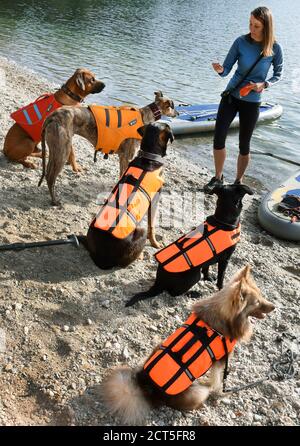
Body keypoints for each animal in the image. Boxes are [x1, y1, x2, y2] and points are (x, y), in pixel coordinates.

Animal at [38, 91, 177, 206]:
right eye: (173, 106)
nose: (178, 113)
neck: (145, 116)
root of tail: (52, 116)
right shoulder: (127, 157)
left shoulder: (123, 157)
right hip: (62, 151)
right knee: (50, 177)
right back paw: (55, 201)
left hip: (57, 150)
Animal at [78, 122, 175, 268]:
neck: (148, 156)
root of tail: (102, 258)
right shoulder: (155, 199)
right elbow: (152, 226)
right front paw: (155, 243)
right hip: (140, 230)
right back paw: (140, 255)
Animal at [100, 264, 274, 426]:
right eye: (257, 302)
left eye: (261, 295)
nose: (274, 306)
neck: (223, 318)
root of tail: (149, 390)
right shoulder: (221, 360)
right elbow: (218, 381)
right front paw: (221, 393)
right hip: (198, 392)